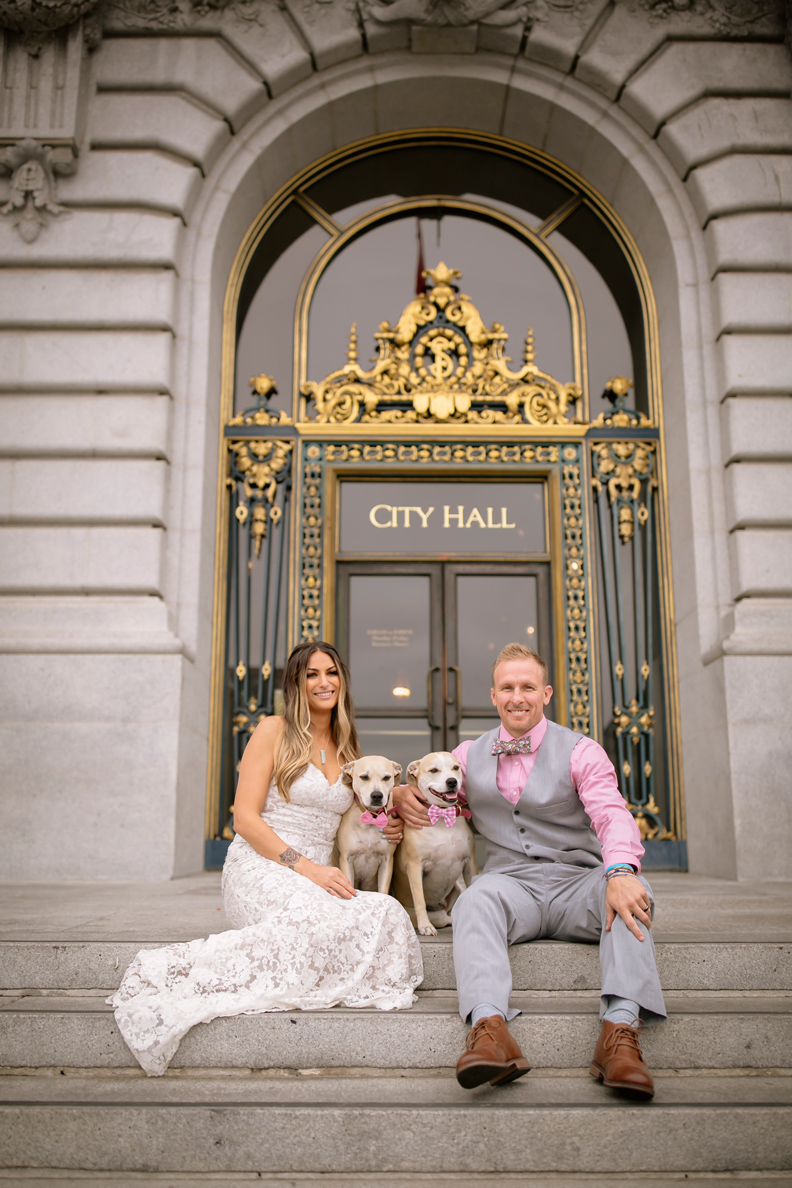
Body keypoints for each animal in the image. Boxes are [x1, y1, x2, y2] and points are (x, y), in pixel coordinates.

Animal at [337, 760, 406, 893]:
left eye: (387, 777)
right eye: (364, 777)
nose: (377, 795)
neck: (373, 818)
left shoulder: (386, 860)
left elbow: (383, 892)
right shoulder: (346, 859)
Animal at [391, 750, 477, 936]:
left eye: (455, 767)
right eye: (433, 770)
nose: (452, 781)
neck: (442, 817)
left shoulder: (470, 862)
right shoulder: (415, 866)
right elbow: (420, 900)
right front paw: (425, 926)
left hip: (456, 889)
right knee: (441, 917)